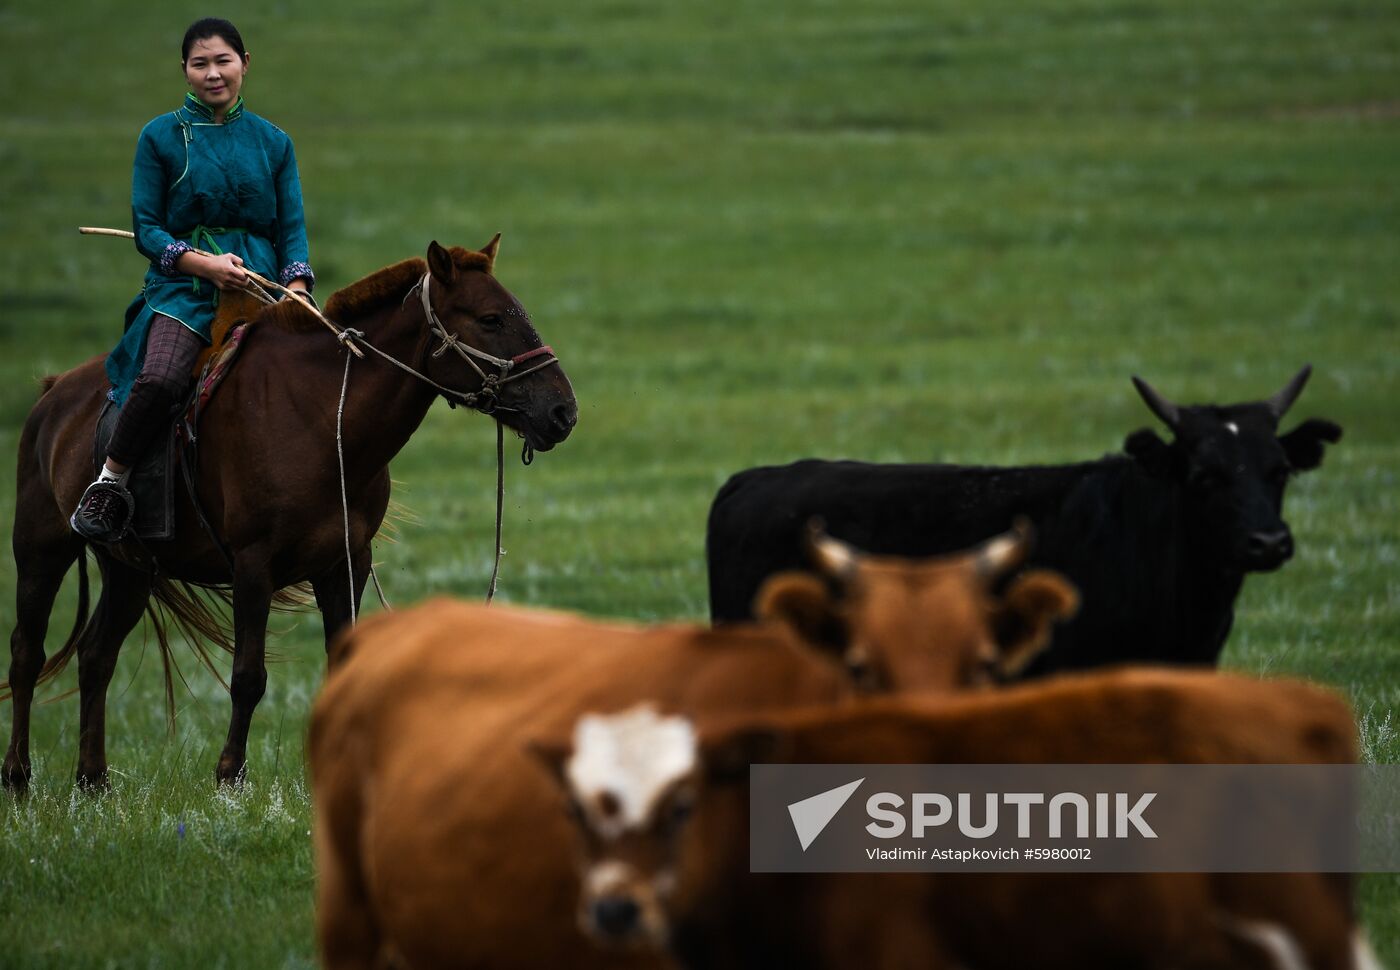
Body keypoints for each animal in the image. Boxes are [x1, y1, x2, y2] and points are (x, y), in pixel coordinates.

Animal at [4, 236, 574, 789]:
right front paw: (230, 776)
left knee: (96, 656)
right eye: (491, 318)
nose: (562, 412)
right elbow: (247, 676)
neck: (319, 416)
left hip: (129, 568)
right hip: (41, 550)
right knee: (27, 654)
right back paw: (17, 774)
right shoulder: (254, 565)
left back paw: (91, 779)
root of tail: (53, 395)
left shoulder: (346, 563)